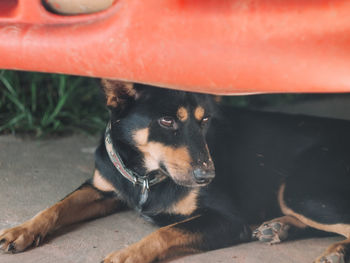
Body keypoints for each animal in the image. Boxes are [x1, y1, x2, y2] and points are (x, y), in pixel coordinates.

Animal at [0, 81, 350, 263]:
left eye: (205, 120)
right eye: (167, 121)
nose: (207, 177)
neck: (145, 175)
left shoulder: (227, 219)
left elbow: (164, 231)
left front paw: (126, 256)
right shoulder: (101, 188)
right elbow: (56, 207)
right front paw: (21, 230)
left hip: (299, 190)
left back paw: (332, 251)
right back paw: (279, 227)